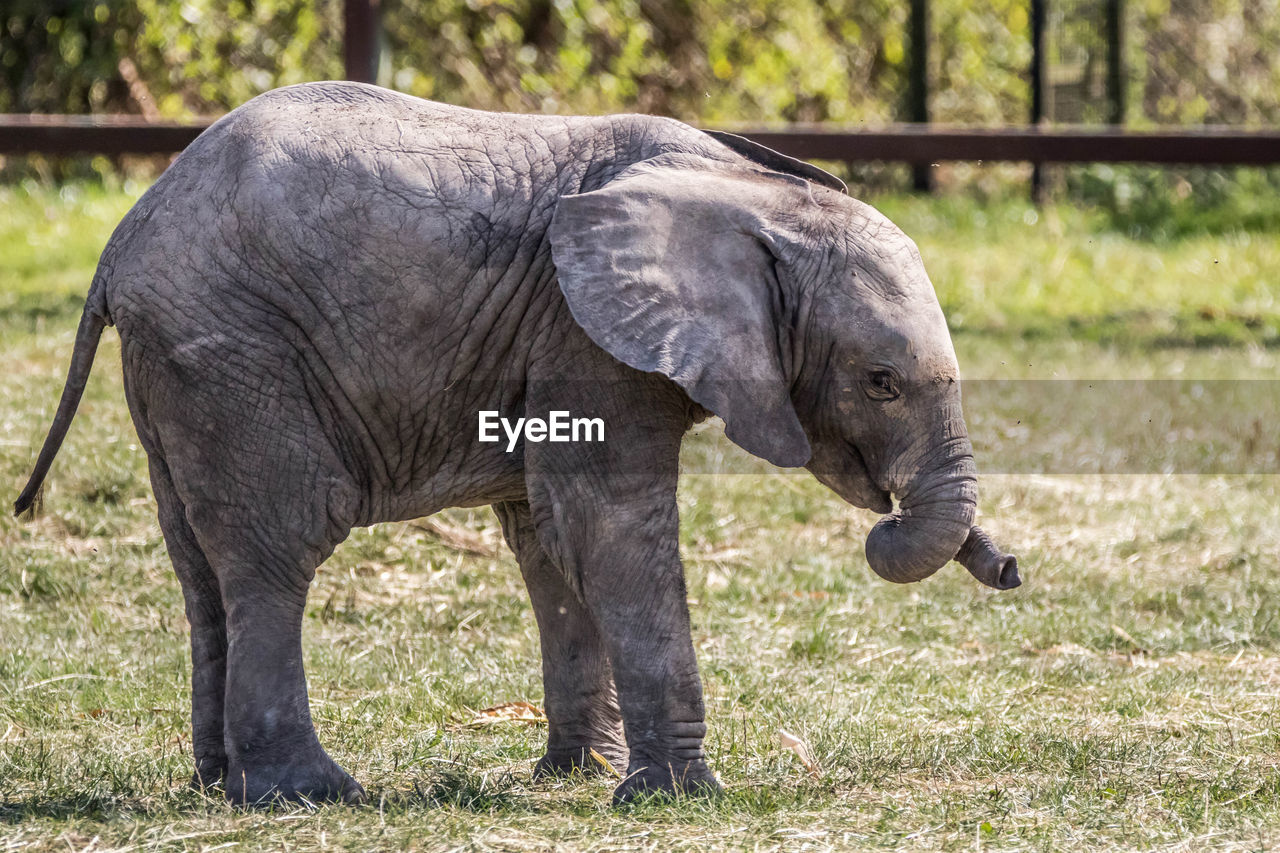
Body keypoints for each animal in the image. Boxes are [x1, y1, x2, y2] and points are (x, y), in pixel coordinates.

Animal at [12, 83, 1018, 809]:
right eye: (881, 382)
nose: (1008, 570)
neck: (758, 196)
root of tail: (123, 237)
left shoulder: (556, 347)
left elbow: (549, 537)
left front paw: (579, 776)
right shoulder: (583, 336)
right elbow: (609, 526)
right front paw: (681, 797)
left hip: (178, 372)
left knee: (200, 565)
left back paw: (220, 783)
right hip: (234, 352)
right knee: (275, 549)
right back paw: (310, 794)